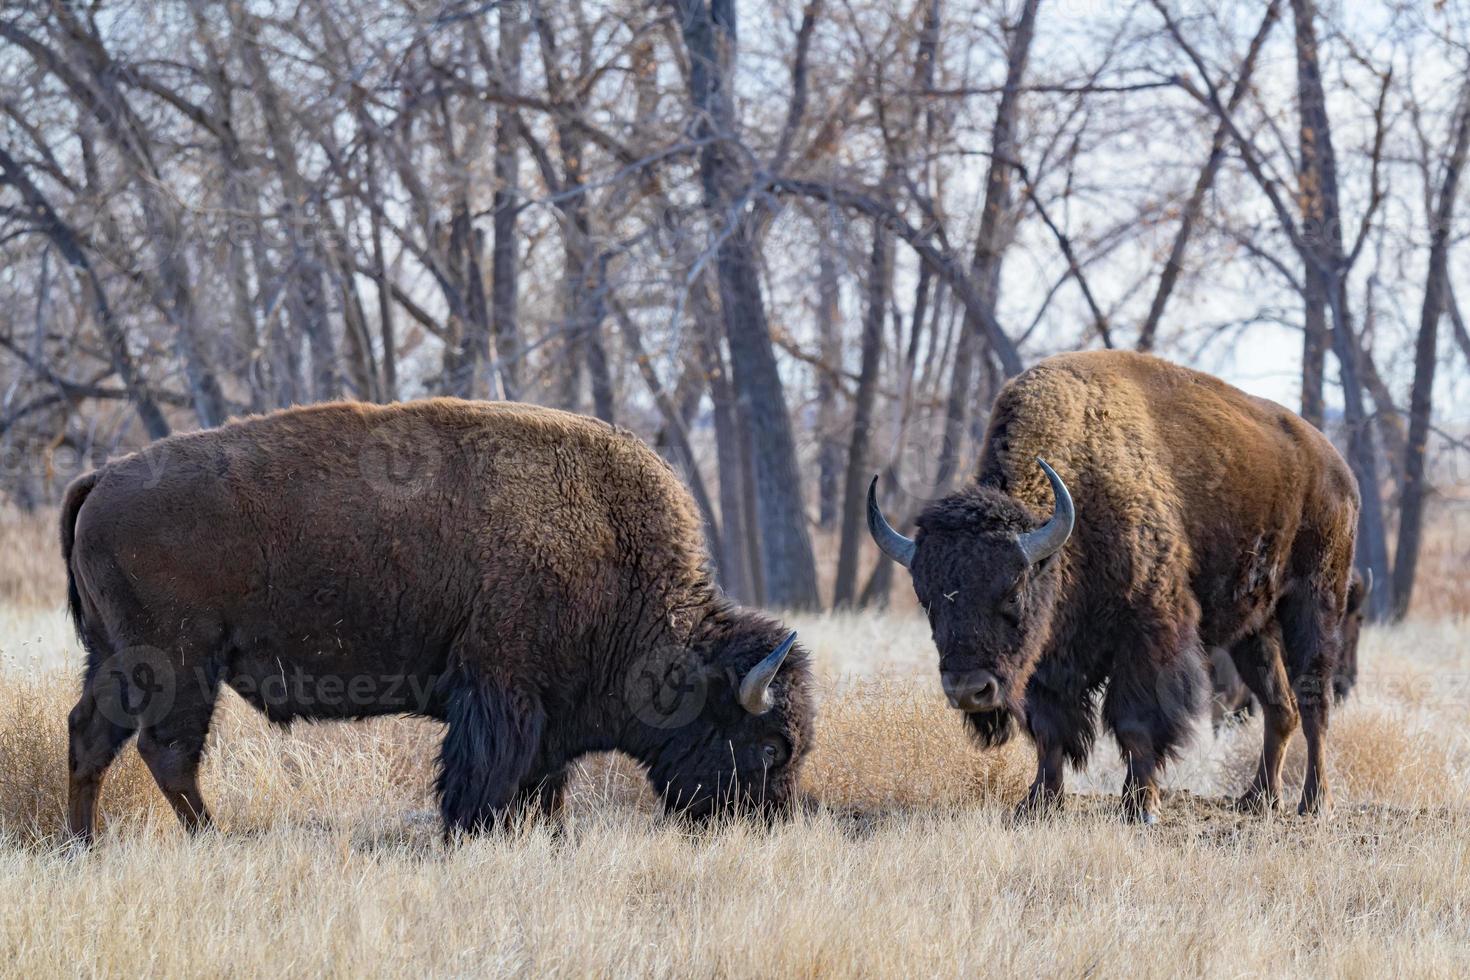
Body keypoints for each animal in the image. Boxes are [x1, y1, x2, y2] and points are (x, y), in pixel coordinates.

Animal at [60, 399, 817, 846]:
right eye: (771, 746)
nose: (763, 829)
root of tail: (102, 478)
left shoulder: (543, 715)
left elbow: (543, 786)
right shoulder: (502, 691)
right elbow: (483, 777)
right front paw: (469, 837)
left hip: (114, 658)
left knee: (90, 736)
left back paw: (83, 846)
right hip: (177, 662)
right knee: (167, 753)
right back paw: (211, 840)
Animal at [864, 348, 1358, 822]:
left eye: (1013, 593)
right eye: (927, 601)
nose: (969, 691)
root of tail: (1336, 466)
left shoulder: (1146, 633)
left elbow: (1136, 723)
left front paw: (1141, 807)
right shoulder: (1048, 658)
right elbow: (1049, 730)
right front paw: (1038, 803)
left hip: (1316, 601)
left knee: (1313, 701)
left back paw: (1315, 803)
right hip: (1253, 630)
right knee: (1280, 706)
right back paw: (1258, 800)